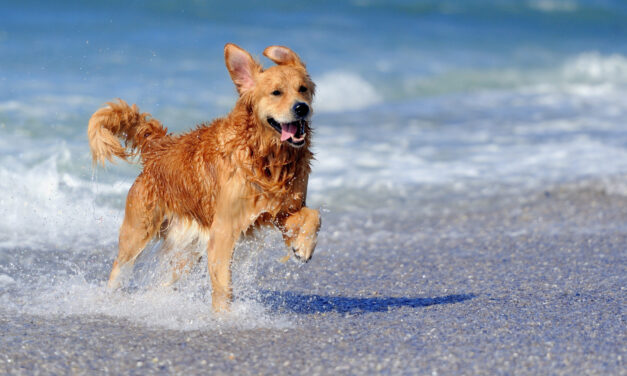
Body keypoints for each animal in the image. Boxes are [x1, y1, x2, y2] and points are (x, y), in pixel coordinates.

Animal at [88, 44, 322, 312]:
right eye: (276, 92)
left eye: (302, 89)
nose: (301, 108)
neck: (265, 156)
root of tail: (159, 148)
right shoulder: (224, 228)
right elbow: (223, 284)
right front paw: (224, 316)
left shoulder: (281, 210)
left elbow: (313, 215)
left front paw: (303, 247)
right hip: (138, 232)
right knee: (119, 268)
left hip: (187, 250)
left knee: (164, 281)